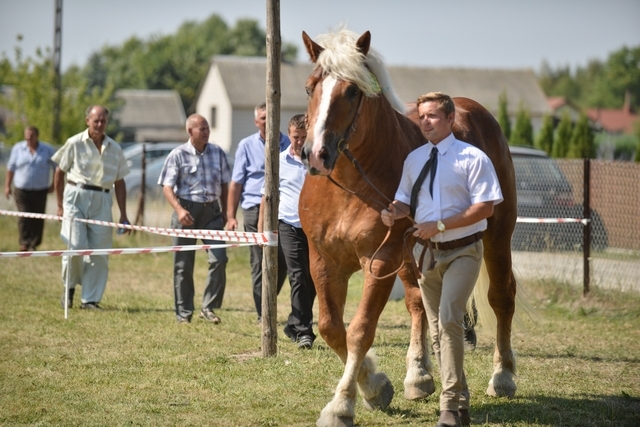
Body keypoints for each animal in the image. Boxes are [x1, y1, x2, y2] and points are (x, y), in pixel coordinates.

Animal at [298, 28, 516, 426]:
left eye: (352, 91)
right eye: (310, 88)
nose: (316, 154)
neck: (349, 185)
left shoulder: (381, 259)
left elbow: (360, 330)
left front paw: (342, 405)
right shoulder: (323, 261)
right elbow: (332, 328)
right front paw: (375, 386)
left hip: (497, 236)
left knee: (501, 296)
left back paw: (503, 375)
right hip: (412, 256)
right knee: (419, 304)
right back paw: (419, 374)